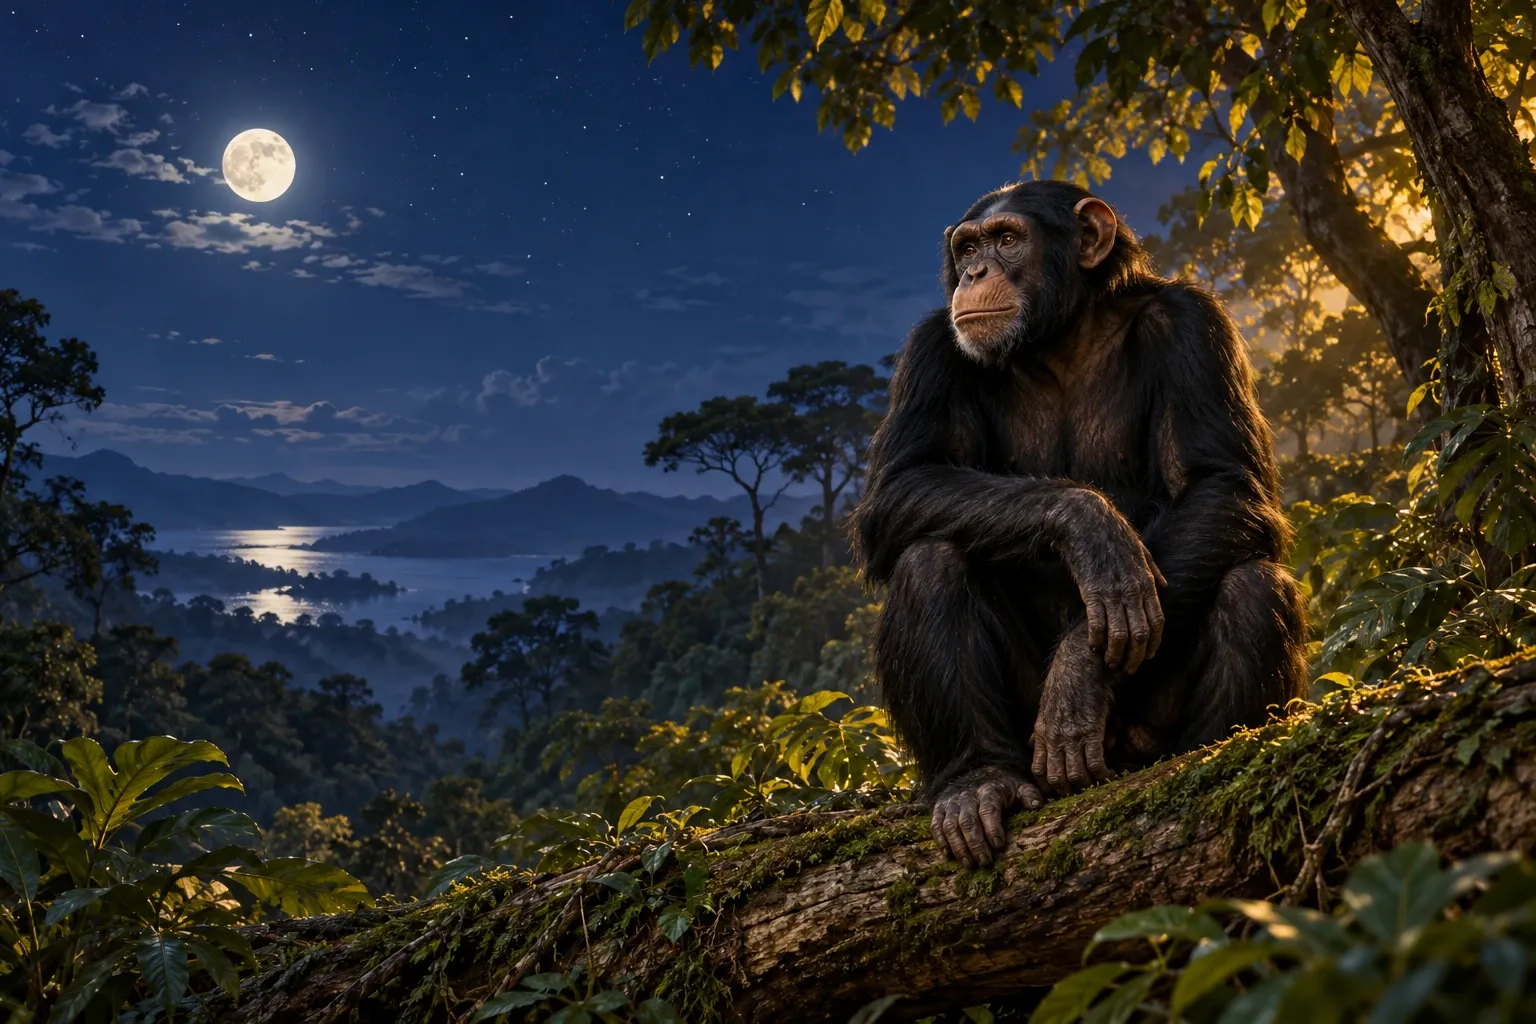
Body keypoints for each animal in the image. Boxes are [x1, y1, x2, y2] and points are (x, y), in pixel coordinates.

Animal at [851, 180, 1307, 869]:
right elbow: (903, 483)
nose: (974, 274)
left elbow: (1223, 482)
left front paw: (1078, 677)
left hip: (1140, 733)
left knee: (1253, 584)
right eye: (968, 248)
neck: (1057, 339)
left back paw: (1200, 762)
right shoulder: (932, 347)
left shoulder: (1194, 325)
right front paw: (1092, 529)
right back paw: (976, 781)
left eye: (1008, 239)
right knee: (928, 561)